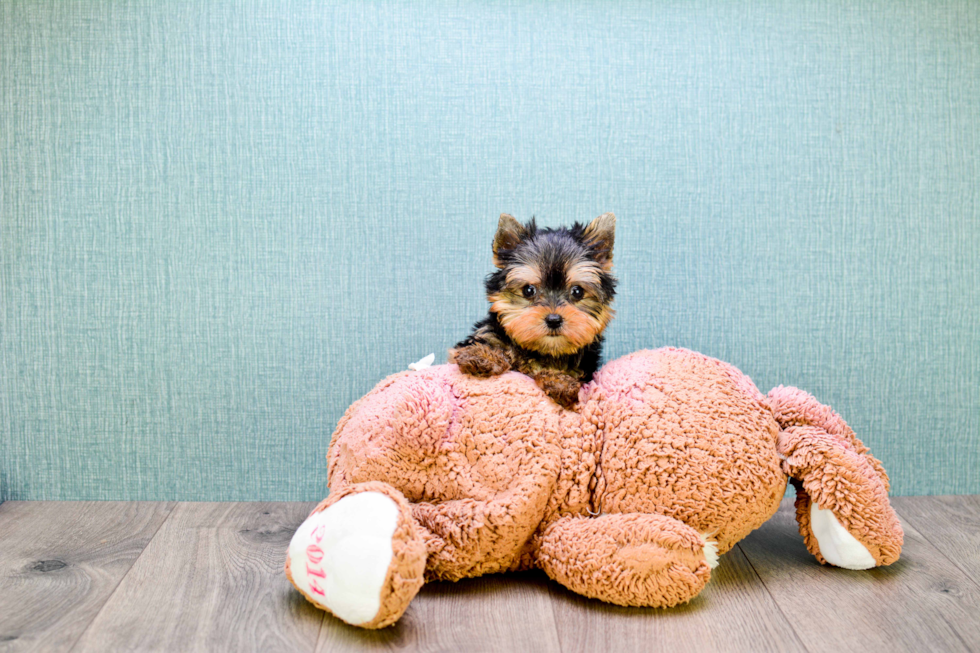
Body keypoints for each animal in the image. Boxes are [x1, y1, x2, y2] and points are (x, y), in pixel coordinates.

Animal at [450, 214, 616, 408]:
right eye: (528, 290)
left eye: (577, 291)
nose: (553, 319)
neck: (542, 351)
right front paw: (482, 355)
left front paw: (560, 381)